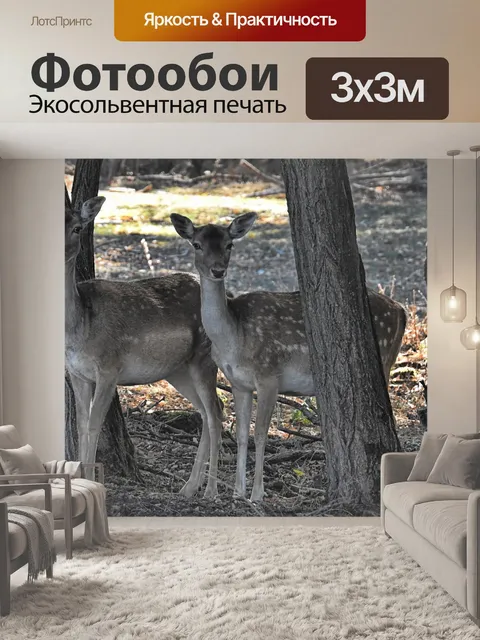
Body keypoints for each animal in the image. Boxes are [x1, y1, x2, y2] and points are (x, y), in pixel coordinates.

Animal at [65, 196, 223, 498]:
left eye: (78, 227)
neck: (79, 327)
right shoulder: (76, 373)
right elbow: (80, 426)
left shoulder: (109, 367)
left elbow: (93, 425)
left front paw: (92, 484)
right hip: (178, 370)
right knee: (207, 408)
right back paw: (189, 487)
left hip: (204, 357)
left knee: (215, 411)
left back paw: (207, 490)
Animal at [171, 212, 408, 503]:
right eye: (197, 244)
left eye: (229, 244)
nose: (217, 270)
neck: (233, 338)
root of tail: (402, 311)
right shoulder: (239, 383)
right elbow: (242, 434)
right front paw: (238, 492)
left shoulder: (269, 375)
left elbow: (261, 434)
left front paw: (257, 494)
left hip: (383, 358)